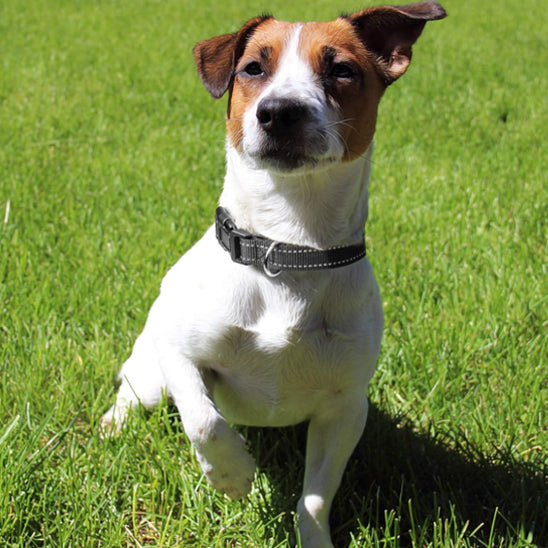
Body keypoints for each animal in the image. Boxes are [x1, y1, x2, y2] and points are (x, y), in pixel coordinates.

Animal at [101, 2, 446, 544]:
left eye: (341, 70)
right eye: (252, 69)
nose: (280, 110)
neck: (289, 248)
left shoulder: (345, 408)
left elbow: (317, 496)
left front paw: (314, 537)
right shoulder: (182, 353)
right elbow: (203, 419)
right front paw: (232, 475)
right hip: (150, 371)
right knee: (132, 395)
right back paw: (113, 426)